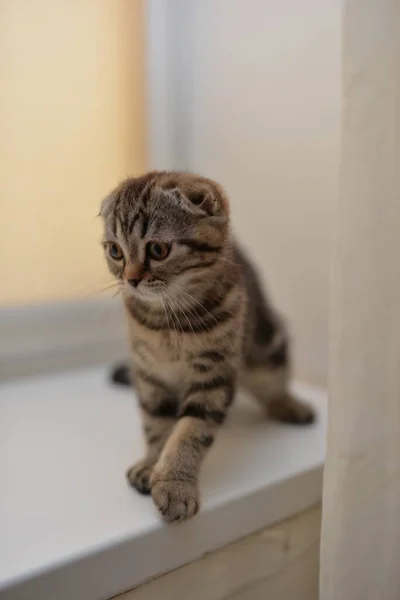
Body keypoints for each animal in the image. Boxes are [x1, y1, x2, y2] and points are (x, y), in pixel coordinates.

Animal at [99, 171, 312, 524]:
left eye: (158, 249)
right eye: (115, 251)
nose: (131, 279)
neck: (167, 322)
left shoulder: (214, 377)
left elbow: (190, 432)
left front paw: (174, 484)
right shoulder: (149, 375)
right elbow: (156, 424)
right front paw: (152, 463)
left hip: (266, 346)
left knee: (273, 384)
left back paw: (291, 406)